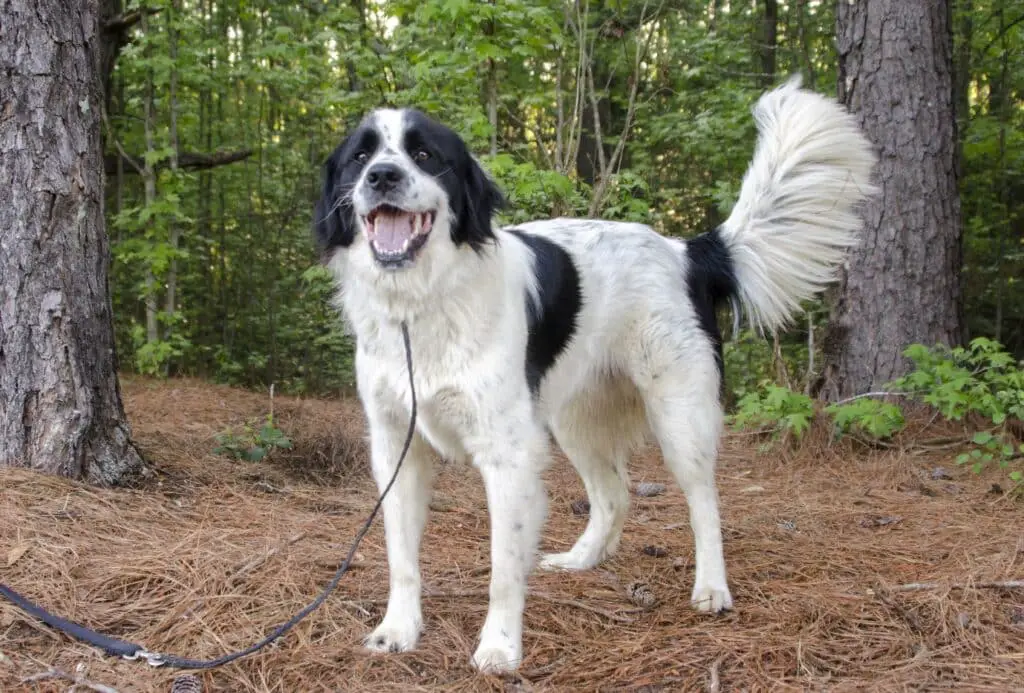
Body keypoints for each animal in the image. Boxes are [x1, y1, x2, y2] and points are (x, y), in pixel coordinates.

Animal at [311, 77, 872, 671]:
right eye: (361, 157)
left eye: (423, 155)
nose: (382, 176)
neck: (421, 306)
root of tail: (686, 251)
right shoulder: (396, 447)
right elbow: (401, 557)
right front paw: (398, 629)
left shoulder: (508, 456)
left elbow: (503, 569)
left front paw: (499, 646)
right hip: (575, 422)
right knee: (614, 495)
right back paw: (583, 559)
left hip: (680, 418)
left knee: (705, 504)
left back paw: (712, 588)